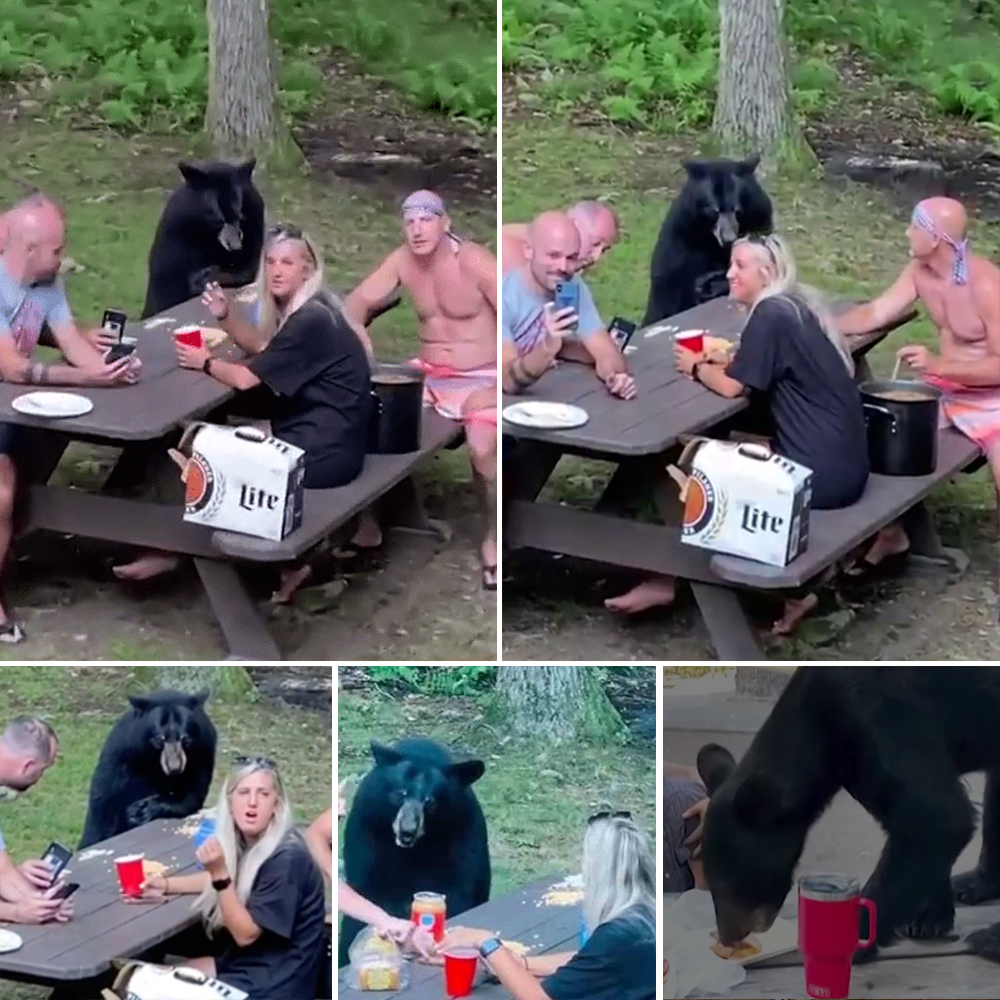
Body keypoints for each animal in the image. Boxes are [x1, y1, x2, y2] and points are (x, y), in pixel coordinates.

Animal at [79, 692, 218, 848]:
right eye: (159, 740)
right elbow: (106, 798)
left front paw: (146, 809)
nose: (175, 768)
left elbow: (192, 793)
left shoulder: (204, 751)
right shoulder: (122, 752)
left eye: (185, 739)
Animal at [142, 159, 266, 316]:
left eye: (240, 216)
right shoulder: (175, 235)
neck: (207, 235)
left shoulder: (254, 228)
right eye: (217, 220)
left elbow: (246, 269)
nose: (236, 246)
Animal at [338, 740, 490, 964]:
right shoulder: (367, 829)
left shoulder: (464, 832)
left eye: (430, 801)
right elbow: (369, 894)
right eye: (400, 794)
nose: (407, 831)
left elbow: (459, 893)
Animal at [696, 668, 1000, 964]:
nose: (728, 936)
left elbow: (936, 816)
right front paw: (929, 917)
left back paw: (988, 939)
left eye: (728, 884)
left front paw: (851, 939)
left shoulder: (882, 717)